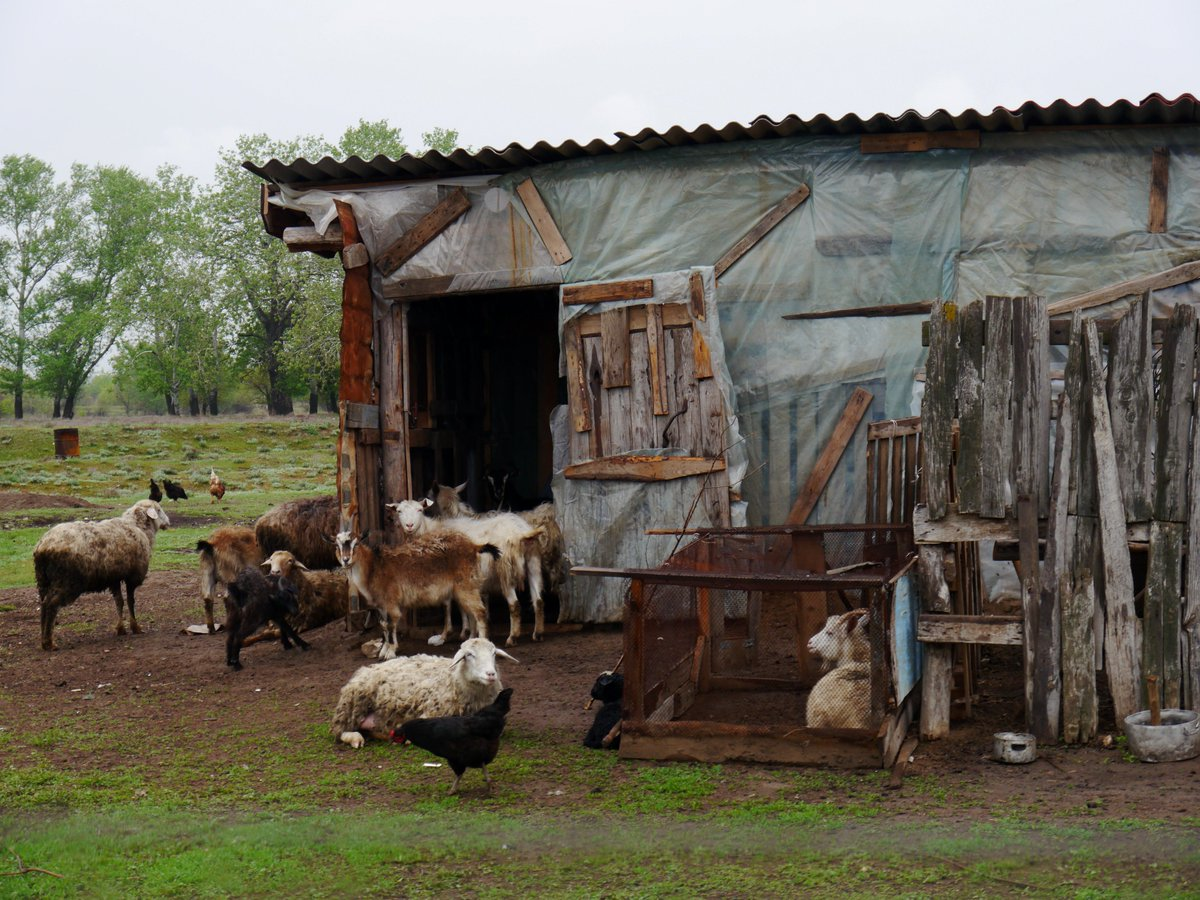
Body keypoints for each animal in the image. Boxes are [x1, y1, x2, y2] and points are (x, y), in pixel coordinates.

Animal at [33, 496, 171, 652]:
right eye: (158, 510)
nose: (168, 522)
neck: (138, 527)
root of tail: (43, 546)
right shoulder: (132, 576)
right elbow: (130, 601)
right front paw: (135, 627)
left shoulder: (114, 578)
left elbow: (119, 602)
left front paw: (121, 629)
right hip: (66, 582)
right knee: (50, 605)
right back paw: (49, 642)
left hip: (43, 580)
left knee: (43, 605)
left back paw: (43, 640)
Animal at [331, 638, 518, 748]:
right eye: (469, 655)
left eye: (494, 654)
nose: (491, 674)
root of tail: (366, 669)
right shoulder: (430, 713)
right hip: (353, 702)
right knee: (340, 731)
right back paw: (355, 738)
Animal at [388, 501, 544, 648]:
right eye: (399, 511)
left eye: (420, 510)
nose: (409, 526)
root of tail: (521, 532)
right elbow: (466, 608)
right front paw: (470, 632)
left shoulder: (447, 578)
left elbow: (448, 606)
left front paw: (447, 635)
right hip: (533, 562)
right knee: (538, 600)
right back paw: (537, 633)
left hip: (505, 569)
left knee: (514, 605)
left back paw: (512, 638)